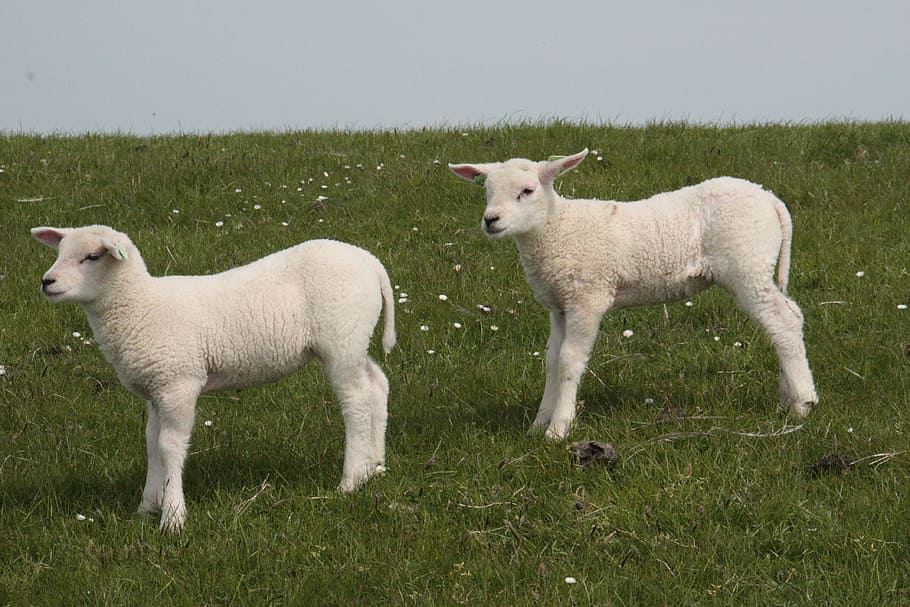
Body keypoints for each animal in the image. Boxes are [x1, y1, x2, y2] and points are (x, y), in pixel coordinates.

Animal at [31, 224, 396, 532]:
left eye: (92, 257)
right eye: (59, 251)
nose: (47, 282)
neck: (140, 307)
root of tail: (369, 261)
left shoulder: (178, 382)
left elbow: (169, 446)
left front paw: (173, 516)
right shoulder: (155, 388)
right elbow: (151, 443)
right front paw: (147, 506)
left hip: (341, 337)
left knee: (355, 402)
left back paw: (350, 480)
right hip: (353, 340)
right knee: (376, 385)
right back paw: (374, 465)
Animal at [449, 149, 818, 439]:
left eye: (527, 191)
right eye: (487, 191)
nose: (491, 220)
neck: (555, 229)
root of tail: (769, 198)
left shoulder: (587, 297)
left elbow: (569, 360)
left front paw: (558, 429)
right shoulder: (559, 305)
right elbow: (552, 360)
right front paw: (538, 424)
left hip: (746, 264)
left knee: (782, 323)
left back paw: (803, 403)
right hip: (756, 268)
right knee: (791, 317)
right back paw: (788, 396)